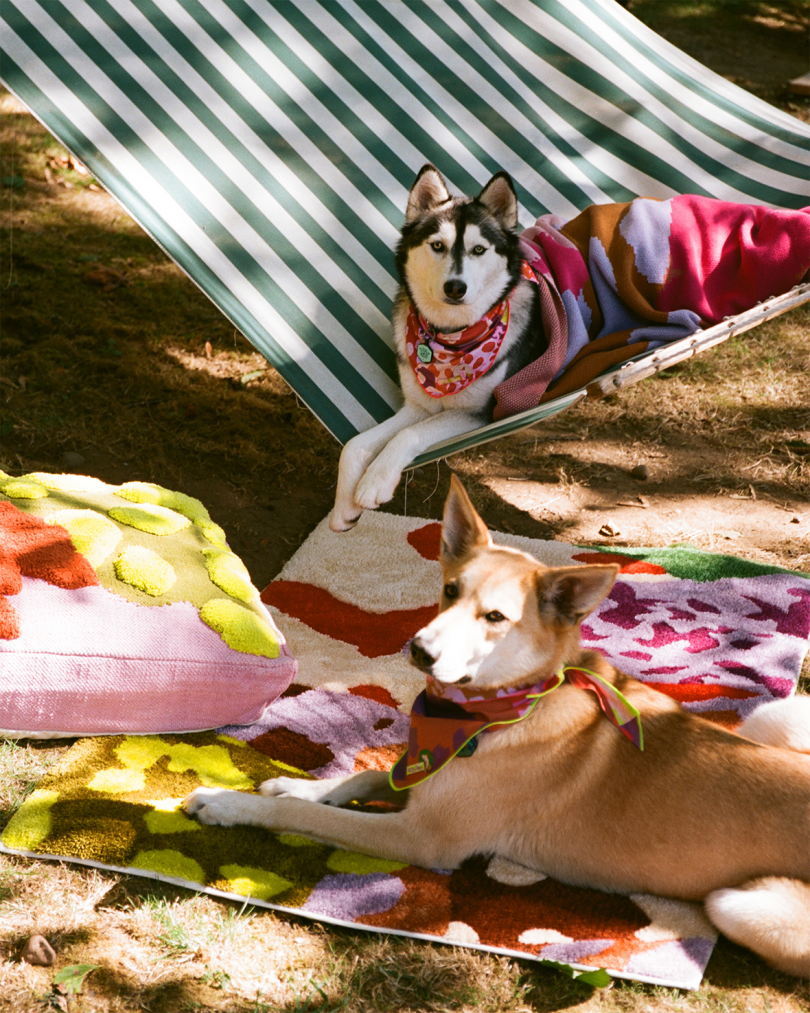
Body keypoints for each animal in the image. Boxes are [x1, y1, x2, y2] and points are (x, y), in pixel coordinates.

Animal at [183, 478, 810, 976]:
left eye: (495, 618)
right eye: (449, 590)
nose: (419, 651)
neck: (497, 709)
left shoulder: (422, 838)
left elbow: (312, 817)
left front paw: (231, 803)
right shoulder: (420, 773)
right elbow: (361, 777)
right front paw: (296, 785)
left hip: (738, 902)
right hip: (774, 719)